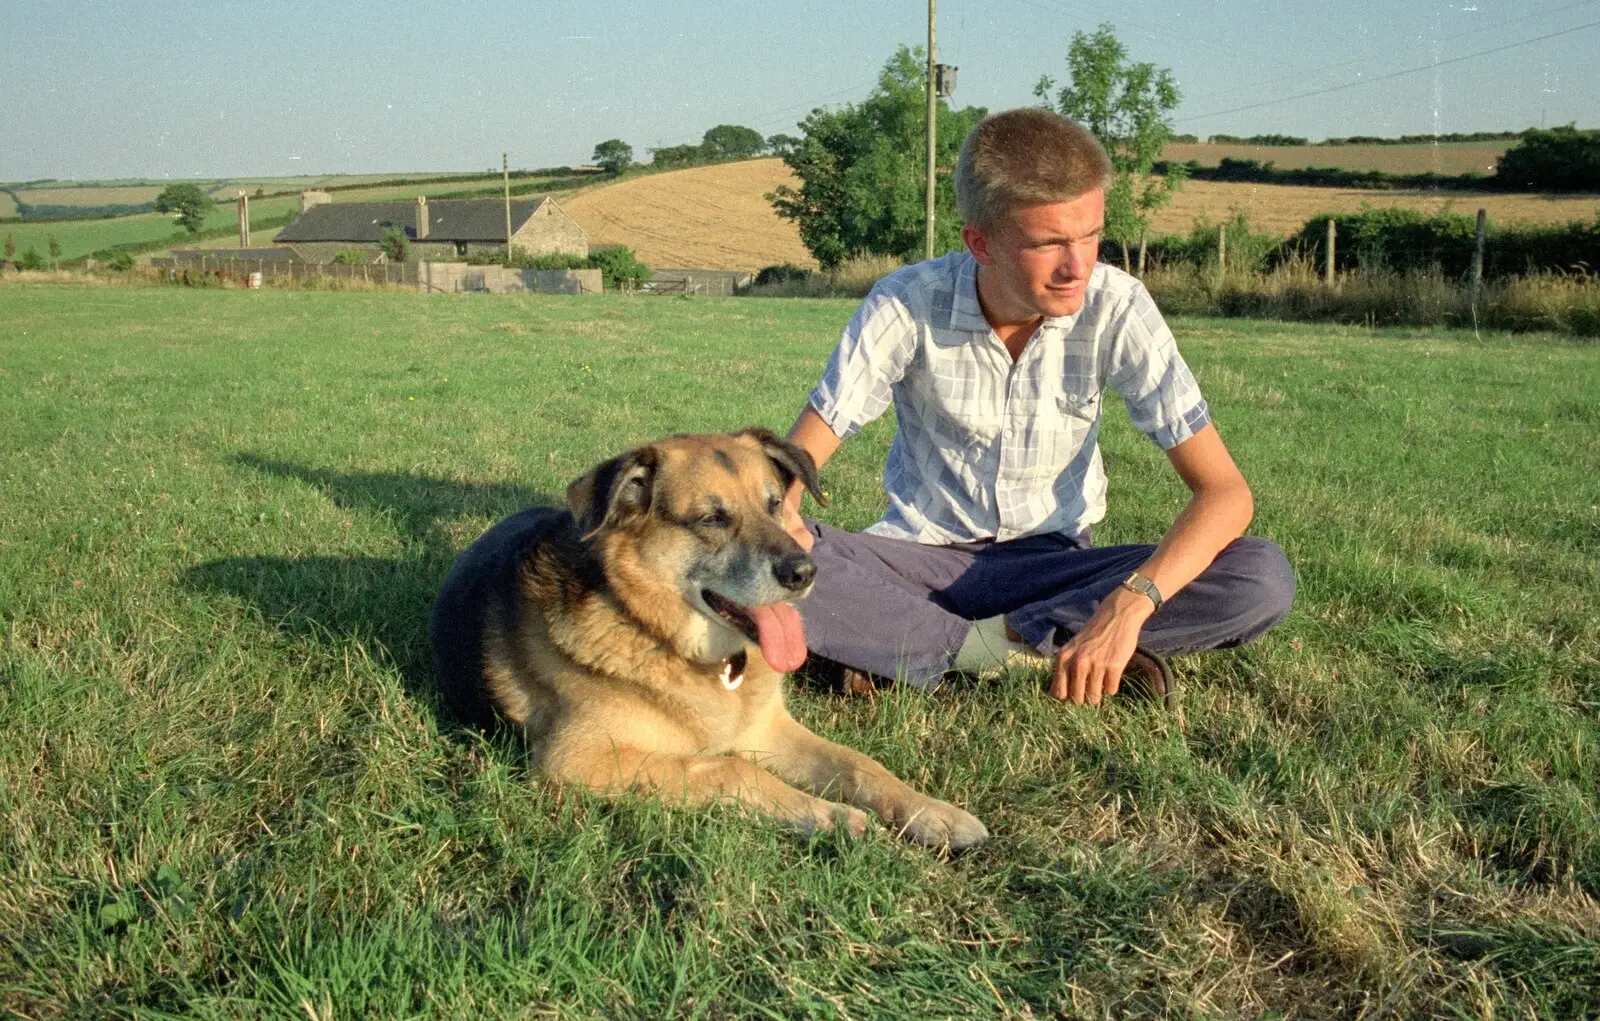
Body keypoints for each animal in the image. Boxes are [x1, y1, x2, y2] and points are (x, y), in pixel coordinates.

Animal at [432, 428, 992, 851]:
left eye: (775, 505)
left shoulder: (768, 731)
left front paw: (932, 813)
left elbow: (861, 764)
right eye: (712, 519)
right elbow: (731, 770)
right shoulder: (579, 763)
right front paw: (829, 816)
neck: (658, 635)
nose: (805, 573)